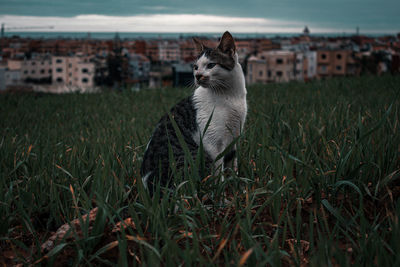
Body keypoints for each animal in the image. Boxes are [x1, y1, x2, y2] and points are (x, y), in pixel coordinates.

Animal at [141, 31, 247, 197]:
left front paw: (236, 191)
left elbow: (232, 168)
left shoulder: (234, 137)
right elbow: (219, 173)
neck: (230, 95)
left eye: (211, 65)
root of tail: (149, 188)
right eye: (196, 67)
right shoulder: (212, 141)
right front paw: (222, 196)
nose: (197, 76)